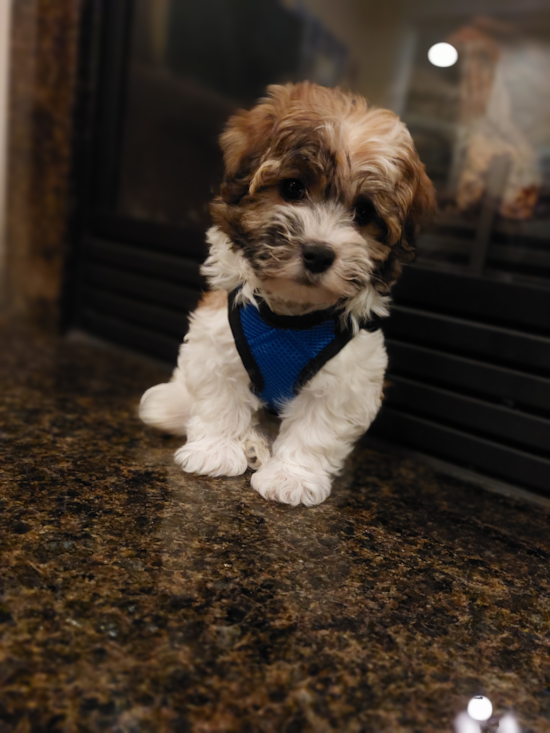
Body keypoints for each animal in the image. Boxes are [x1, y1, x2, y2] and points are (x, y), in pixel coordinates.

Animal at [140, 80, 438, 504]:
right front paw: (215, 451)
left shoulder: (348, 374)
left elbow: (315, 428)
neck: (291, 313)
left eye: (364, 212)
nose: (318, 253)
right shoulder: (217, 338)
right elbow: (219, 398)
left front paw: (291, 477)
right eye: (293, 188)